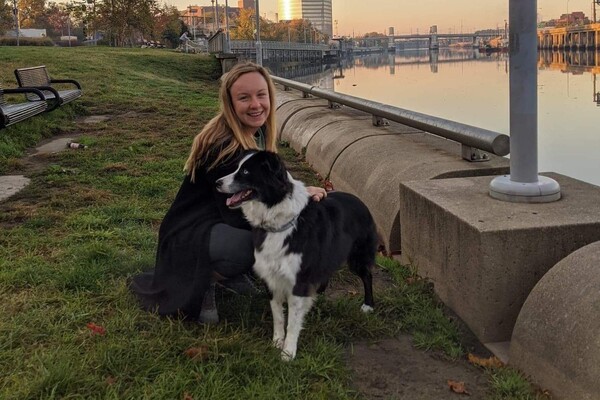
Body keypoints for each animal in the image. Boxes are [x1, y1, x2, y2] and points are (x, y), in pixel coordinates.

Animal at [216, 152, 376, 360]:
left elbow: (292, 321)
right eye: (237, 167)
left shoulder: (299, 281)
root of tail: (360, 200)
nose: (217, 183)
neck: (278, 217)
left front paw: (288, 352)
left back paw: (368, 305)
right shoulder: (271, 278)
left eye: (245, 171)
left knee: (367, 276)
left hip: (358, 257)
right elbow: (278, 315)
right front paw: (276, 343)